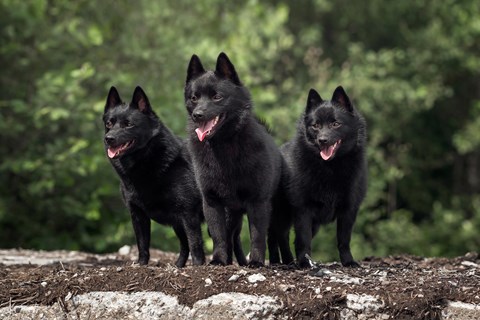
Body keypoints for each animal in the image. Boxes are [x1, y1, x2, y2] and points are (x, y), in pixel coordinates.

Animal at [103, 85, 204, 268]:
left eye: (128, 124)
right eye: (109, 123)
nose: (109, 139)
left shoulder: (189, 214)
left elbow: (195, 243)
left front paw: (198, 267)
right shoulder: (138, 215)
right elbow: (142, 245)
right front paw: (142, 265)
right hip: (178, 224)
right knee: (184, 245)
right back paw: (178, 265)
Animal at [184, 53, 290, 268]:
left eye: (217, 96)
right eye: (194, 97)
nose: (198, 115)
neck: (223, 145)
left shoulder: (258, 202)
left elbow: (257, 236)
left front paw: (256, 261)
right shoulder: (212, 202)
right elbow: (219, 236)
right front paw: (218, 260)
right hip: (232, 213)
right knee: (232, 237)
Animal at [284, 85, 366, 268]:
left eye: (335, 124)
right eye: (315, 125)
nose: (323, 140)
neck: (330, 168)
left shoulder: (348, 210)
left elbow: (344, 240)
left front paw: (348, 262)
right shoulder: (303, 210)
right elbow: (303, 239)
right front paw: (304, 263)